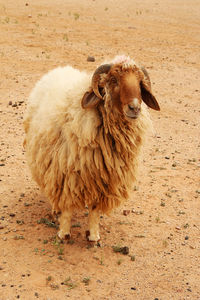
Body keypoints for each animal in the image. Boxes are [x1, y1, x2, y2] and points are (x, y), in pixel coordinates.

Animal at [23, 54, 160, 241]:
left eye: (140, 83)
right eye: (114, 80)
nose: (134, 108)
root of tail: (60, 69)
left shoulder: (103, 179)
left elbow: (94, 209)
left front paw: (93, 236)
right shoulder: (67, 172)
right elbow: (67, 206)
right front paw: (64, 233)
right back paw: (56, 209)